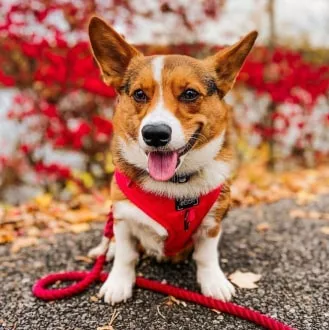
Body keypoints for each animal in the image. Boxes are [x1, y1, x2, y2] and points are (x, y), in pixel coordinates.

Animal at [87, 15, 256, 304]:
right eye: (139, 94)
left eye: (189, 94)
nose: (155, 134)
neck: (175, 185)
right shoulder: (123, 218)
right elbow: (126, 255)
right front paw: (118, 283)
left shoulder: (212, 223)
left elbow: (206, 256)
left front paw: (214, 283)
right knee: (110, 239)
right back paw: (104, 250)